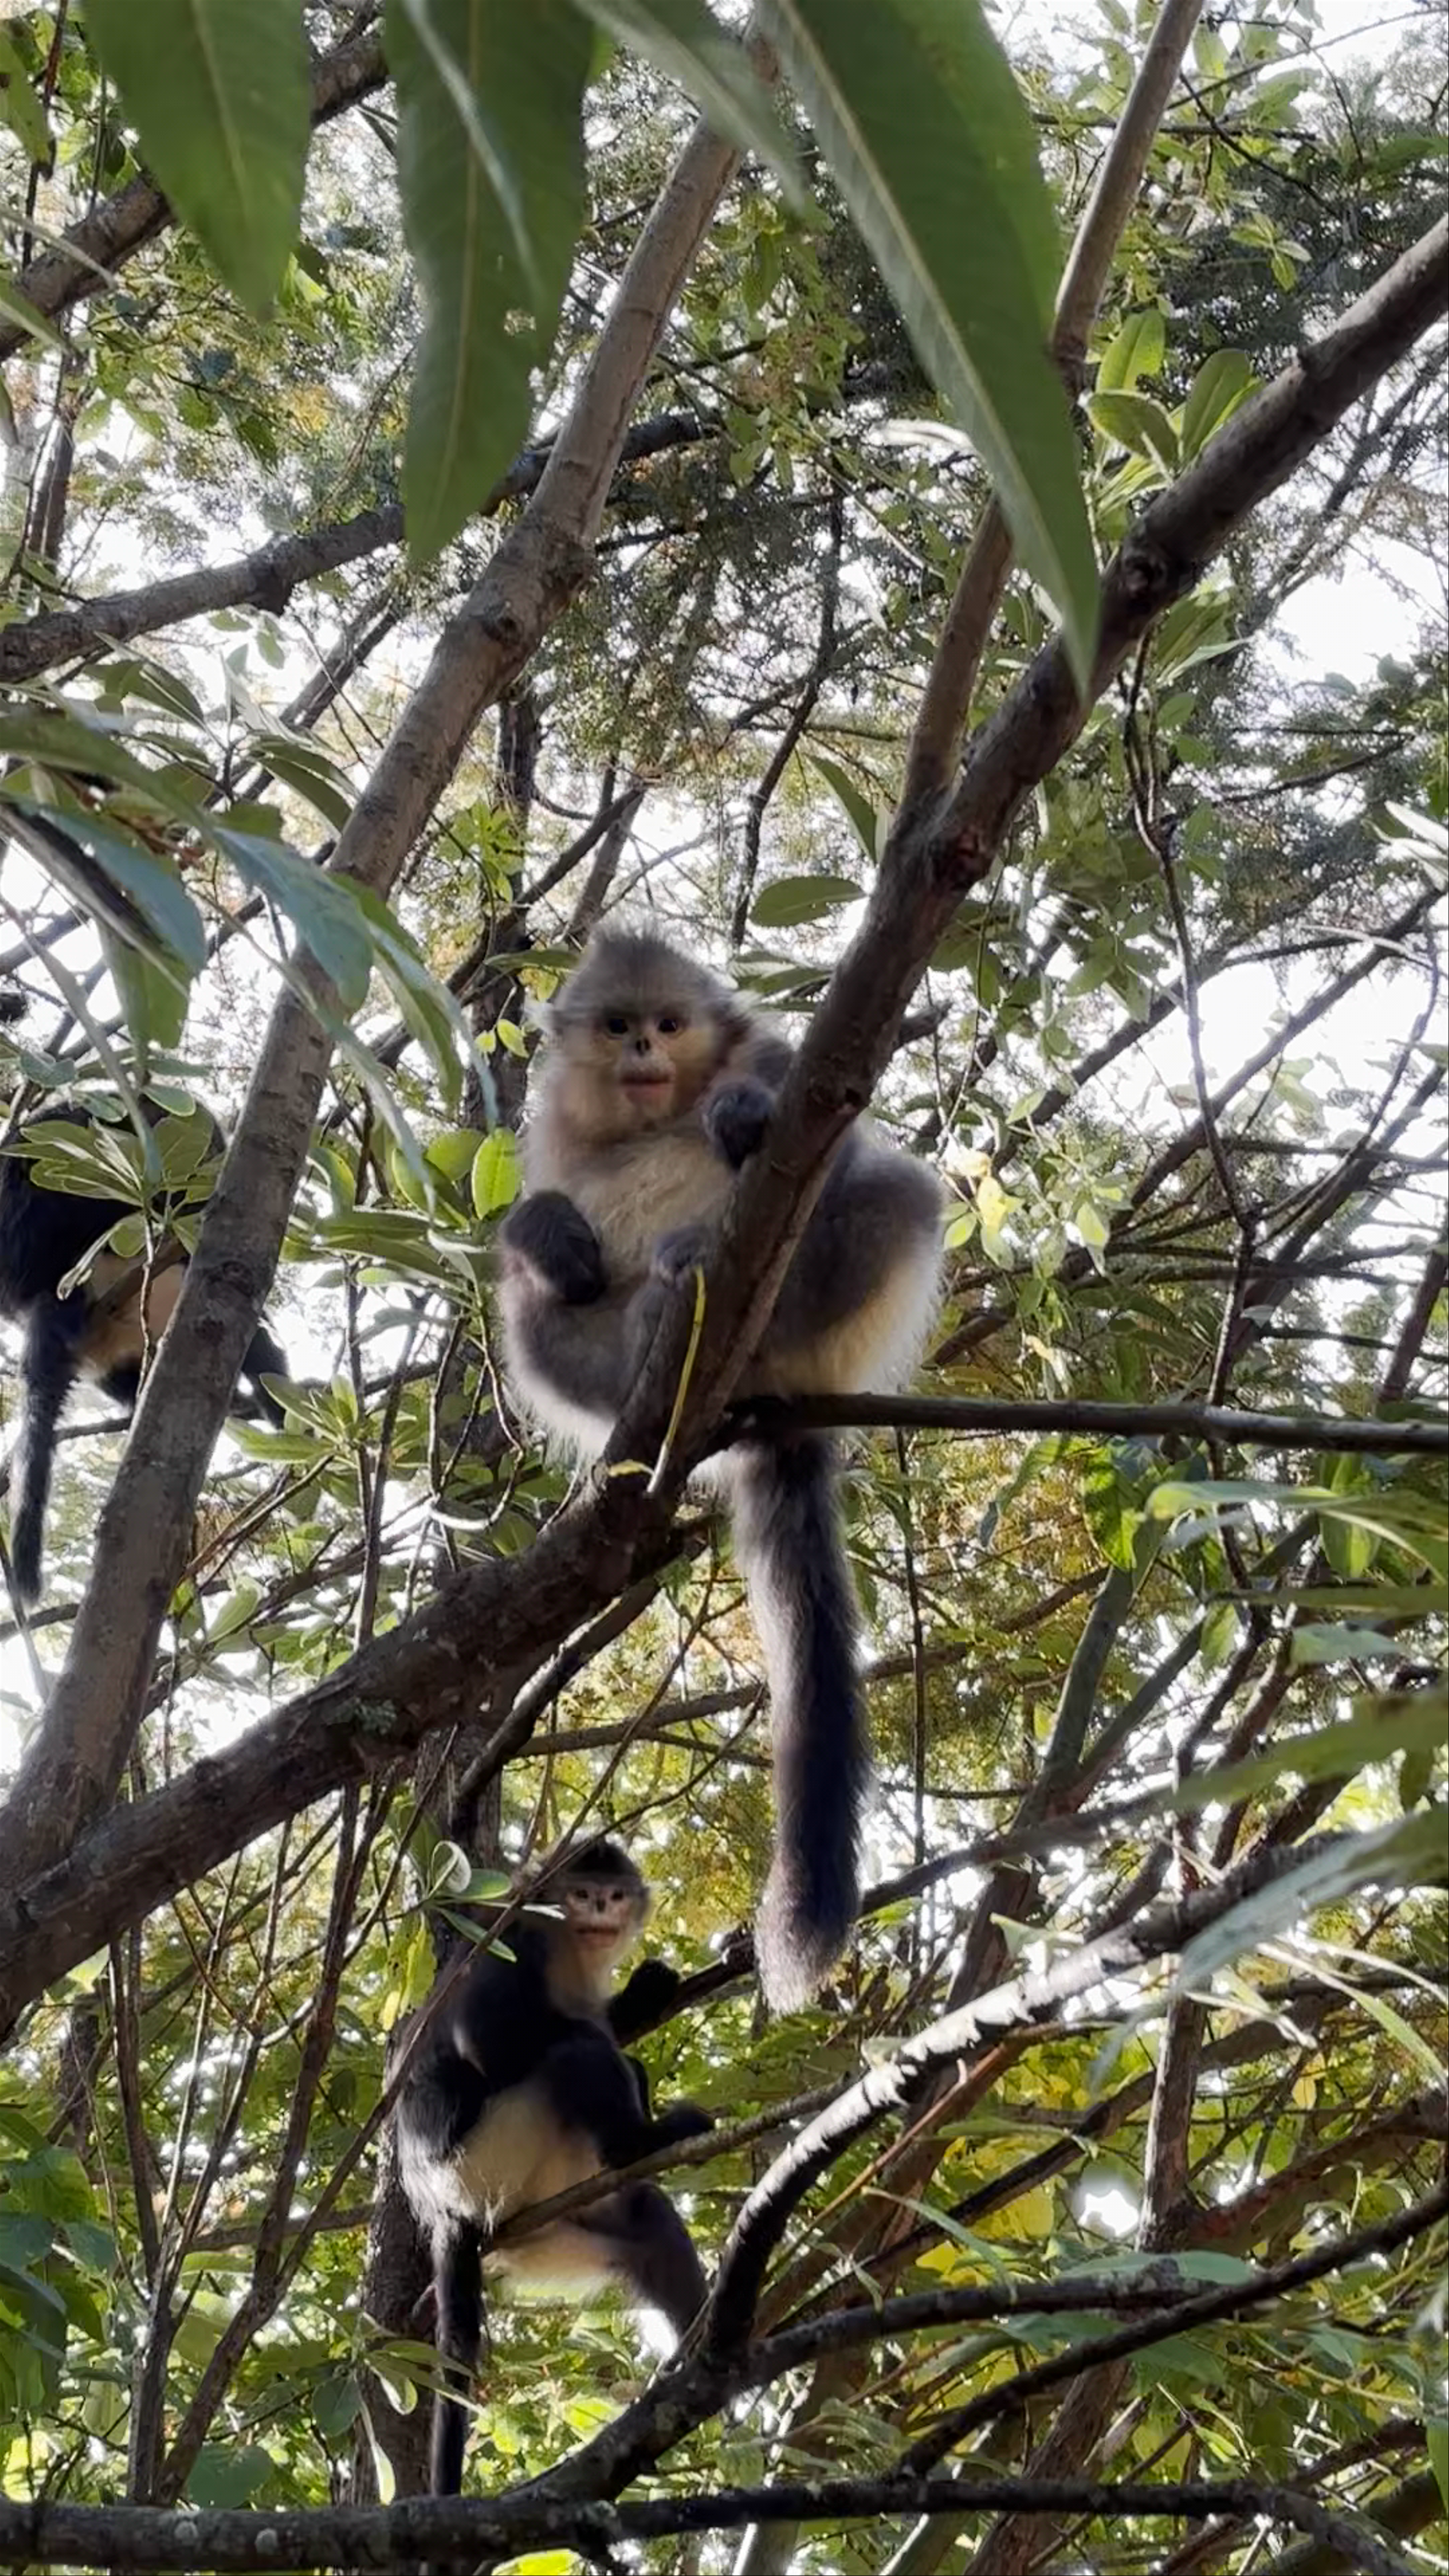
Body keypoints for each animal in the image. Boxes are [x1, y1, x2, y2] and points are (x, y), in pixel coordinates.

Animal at [393, 1838, 713, 2496]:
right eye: (582, 1891)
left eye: (613, 1894)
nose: (600, 1907)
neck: (567, 1942)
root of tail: (441, 2203)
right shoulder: (519, 1939)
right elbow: (493, 2043)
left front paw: (644, 1992)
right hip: (490, 2156)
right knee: (575, 2052)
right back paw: (639, 2139)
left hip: (547, 2228)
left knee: (649, 2222)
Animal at [498, 927, 944, 2013]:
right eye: (621, 1023)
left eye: (670, 1022)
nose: (645, 1051)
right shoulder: (555, 1135)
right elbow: (532, 1228)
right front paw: (548, 1231)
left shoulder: (797, 1069)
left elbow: (831, 1138)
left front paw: (736, 1116)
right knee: (529, 1311)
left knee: (887, 1190)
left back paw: (701, 1273)